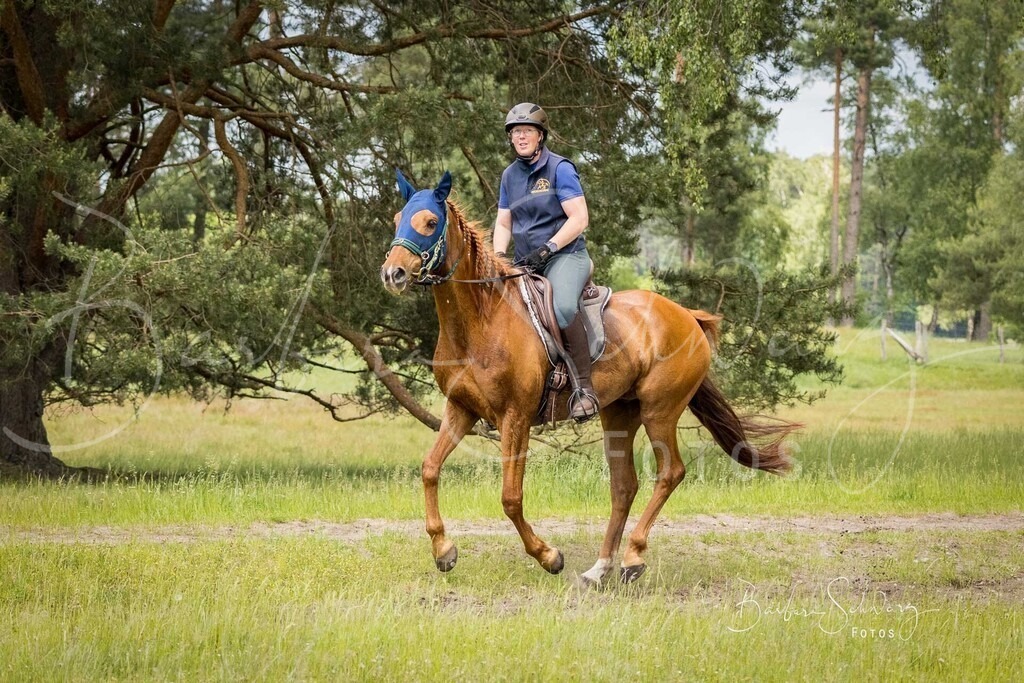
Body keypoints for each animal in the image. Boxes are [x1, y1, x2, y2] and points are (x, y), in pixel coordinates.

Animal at [380, 169, 798, 585]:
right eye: (398, 219)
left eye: (430, 222)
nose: (392, 274)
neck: (481, 320)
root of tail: (688, 317)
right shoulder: (461, 409)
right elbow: (430, 470)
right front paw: (443, 551)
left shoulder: (515, 418)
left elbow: (510, 498)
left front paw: (549, 556)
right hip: (620, 413)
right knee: (624, 486)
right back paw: (601, 568)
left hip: (659, 410)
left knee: (670, 473)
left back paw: (632, 558)